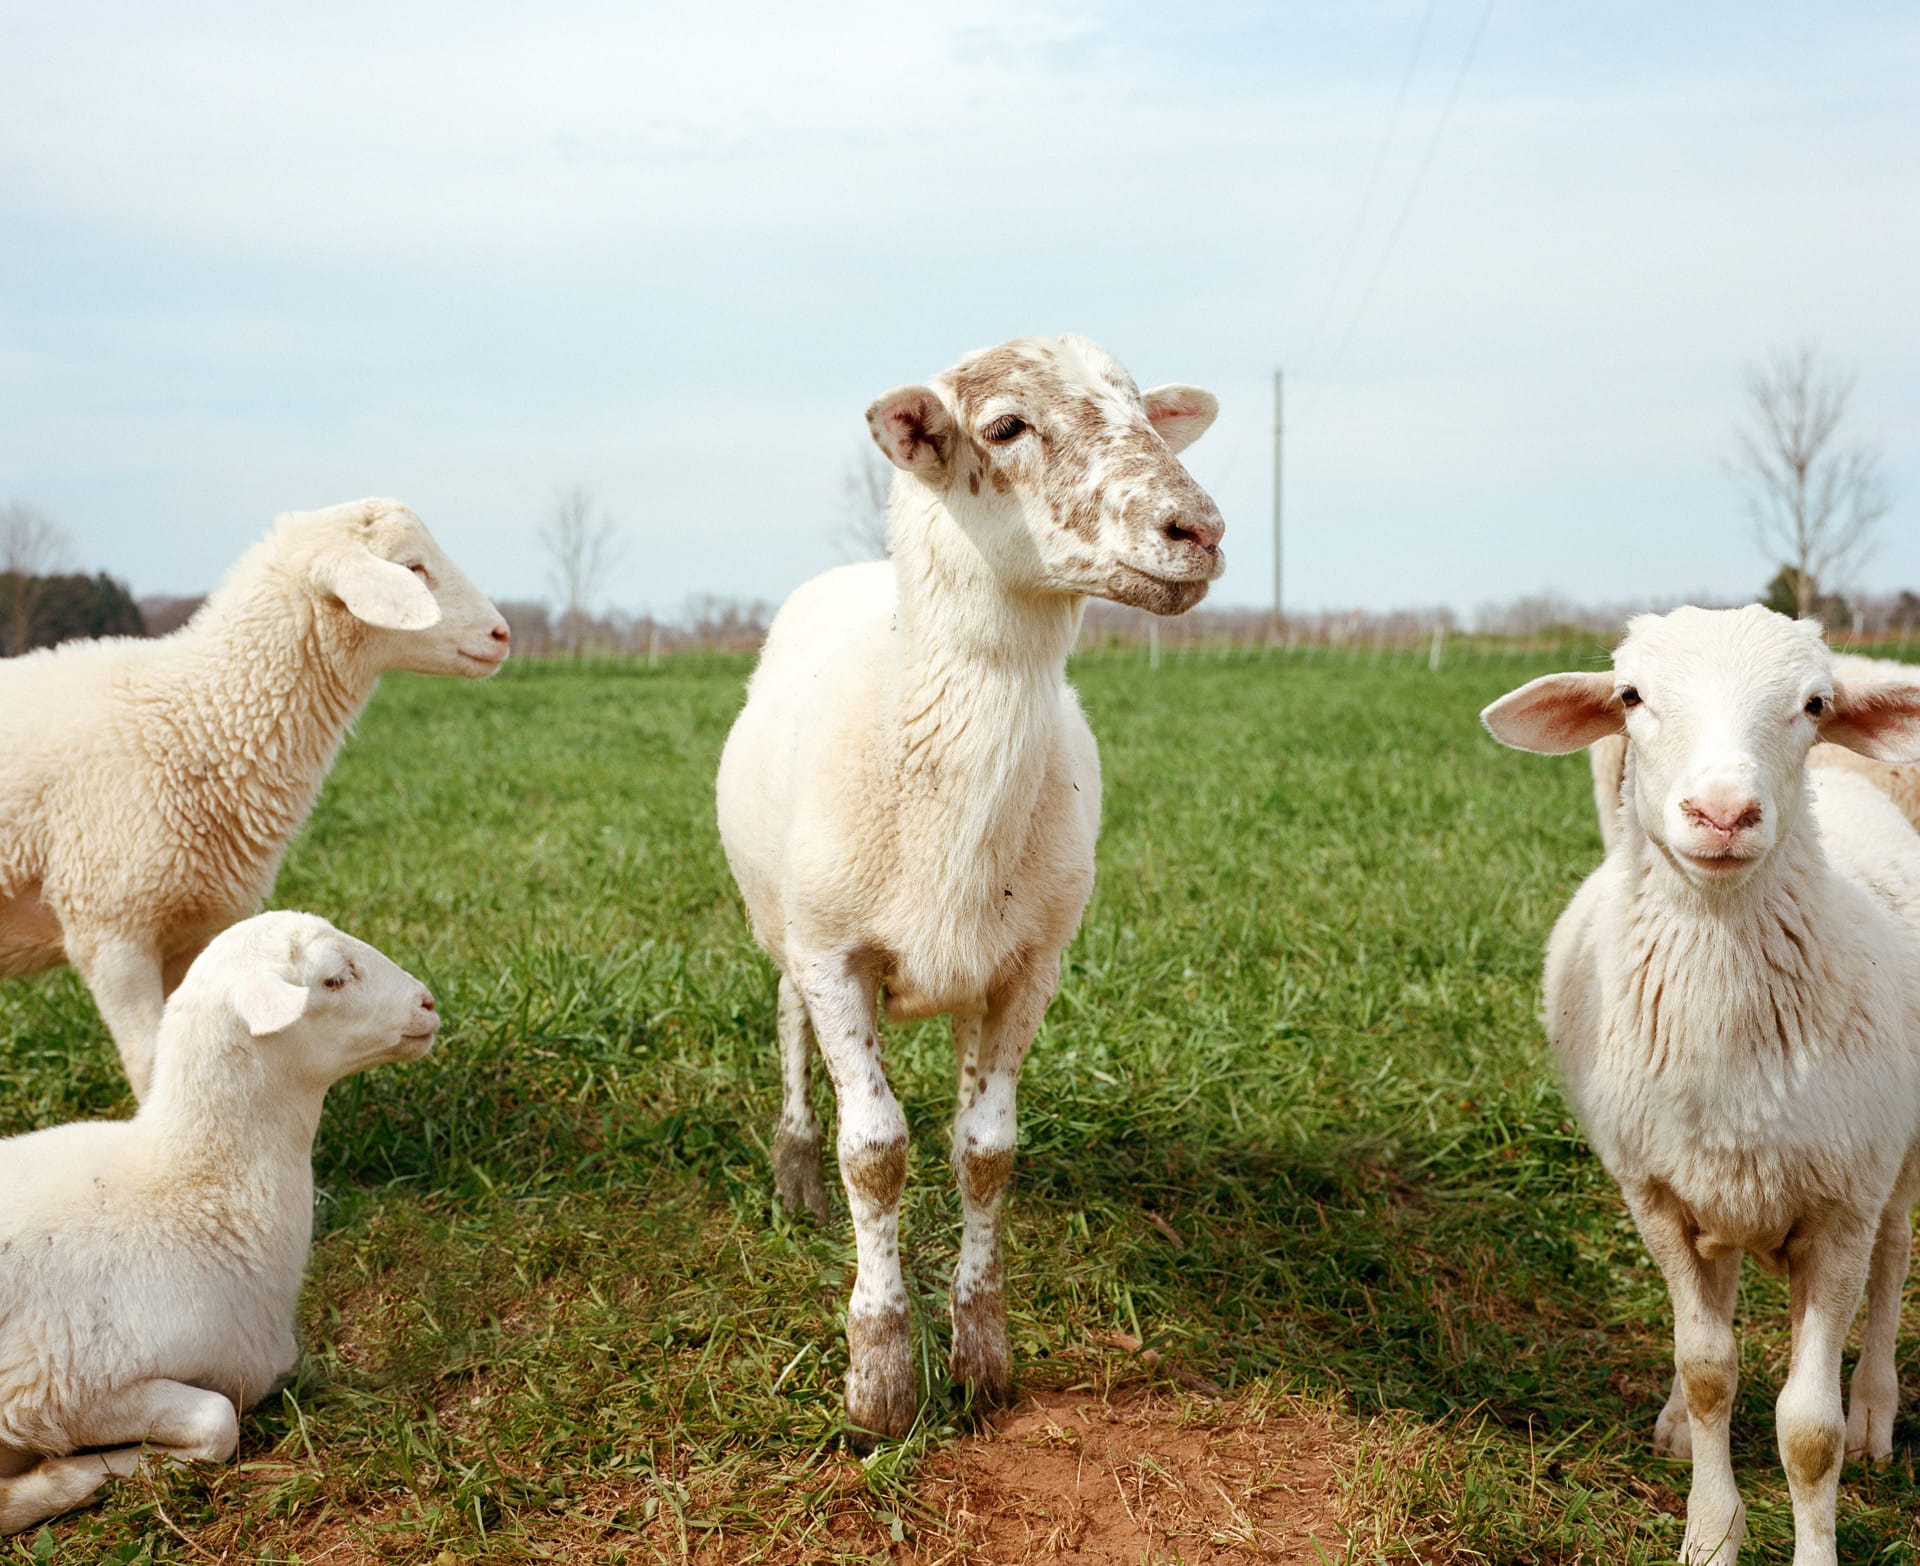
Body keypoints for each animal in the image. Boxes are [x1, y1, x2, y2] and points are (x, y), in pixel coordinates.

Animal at [0, 498, 508, 1101]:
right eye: (412, 567)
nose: (502, 634)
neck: (195, 716)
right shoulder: (110, 927)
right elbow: (151, 1062)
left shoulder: (194, 930)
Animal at [0, 910, 440, 1536]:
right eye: (333, 979)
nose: (427, 1003)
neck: (188, 1192)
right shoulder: (54, 1389)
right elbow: (218, 1420)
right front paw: (63, 1479)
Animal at [715, 334, 1224, 1440]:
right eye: (1004, 427)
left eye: (1147, 415)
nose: (1199, 530)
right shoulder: (833, 952)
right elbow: (875, 1151)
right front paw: (880, 1383)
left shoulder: (1031, 963)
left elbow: (985, 1152)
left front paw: (983, 1356)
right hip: (784, 919)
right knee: (786, 1025)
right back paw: (794, 1169)